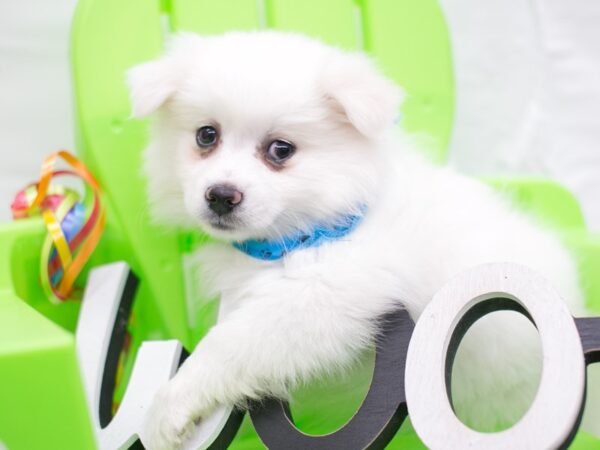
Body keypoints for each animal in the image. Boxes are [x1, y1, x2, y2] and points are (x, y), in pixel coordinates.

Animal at [127, 29, 592, 448]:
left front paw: (168, 405)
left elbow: (229, 343)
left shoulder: (324, 299)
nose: (221, 195)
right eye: (206, 135)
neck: (313, 231)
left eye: (280, 149)